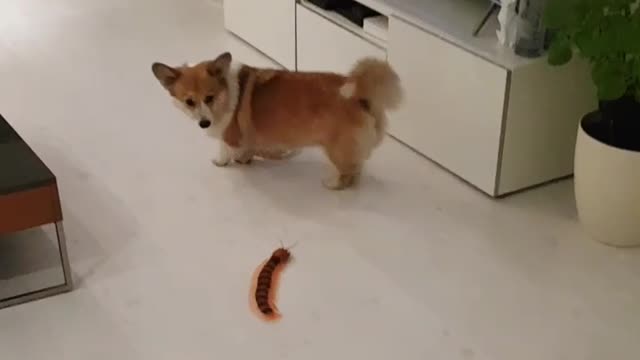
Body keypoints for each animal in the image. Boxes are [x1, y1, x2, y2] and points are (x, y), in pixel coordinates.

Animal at [152, 52, 402, 190]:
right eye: (189, 102)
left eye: (209, 98)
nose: (204, 123)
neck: (228, 93)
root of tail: (362, 95)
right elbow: (246, 150)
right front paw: (244, 159)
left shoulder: (228, 135)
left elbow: (223, 150)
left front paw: (221, 162)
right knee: (357, 167)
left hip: (336, 149)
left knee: (348, 172)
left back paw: (332, 184)